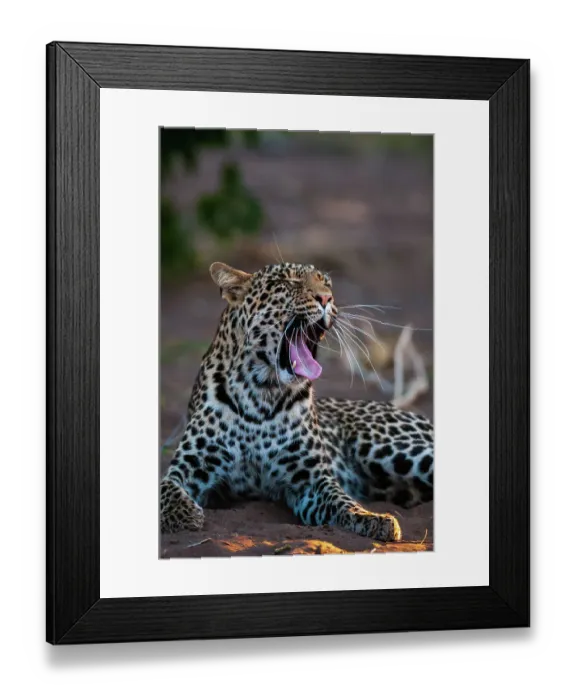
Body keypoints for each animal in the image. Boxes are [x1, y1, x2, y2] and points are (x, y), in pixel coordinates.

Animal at [160, 261, 434, 542]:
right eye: (288, 282)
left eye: (326, 284)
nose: (326, 299)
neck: (261, 393)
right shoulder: (190, 465)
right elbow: (166, 490)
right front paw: (184, 516)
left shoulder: (311, 479)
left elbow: (343, 501)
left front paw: (373, 518)